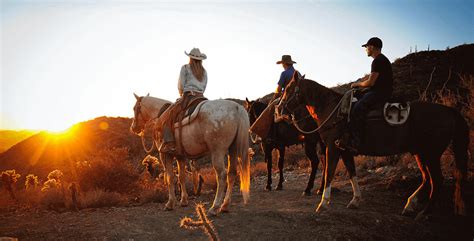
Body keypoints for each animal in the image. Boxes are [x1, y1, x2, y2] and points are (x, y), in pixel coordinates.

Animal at [276, 76, 468, 219]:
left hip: (431, 154)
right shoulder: (345, 150)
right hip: (420, 153)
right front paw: (355, 200)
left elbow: (329, 172)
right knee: (427, 179)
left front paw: (323, 203)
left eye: (289, 88)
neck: (333, 110)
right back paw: (410, 205)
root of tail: (449, 111)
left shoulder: (333, 147)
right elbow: (352, 173)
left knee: (437, 181)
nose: (278, 109)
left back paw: (424, 212)